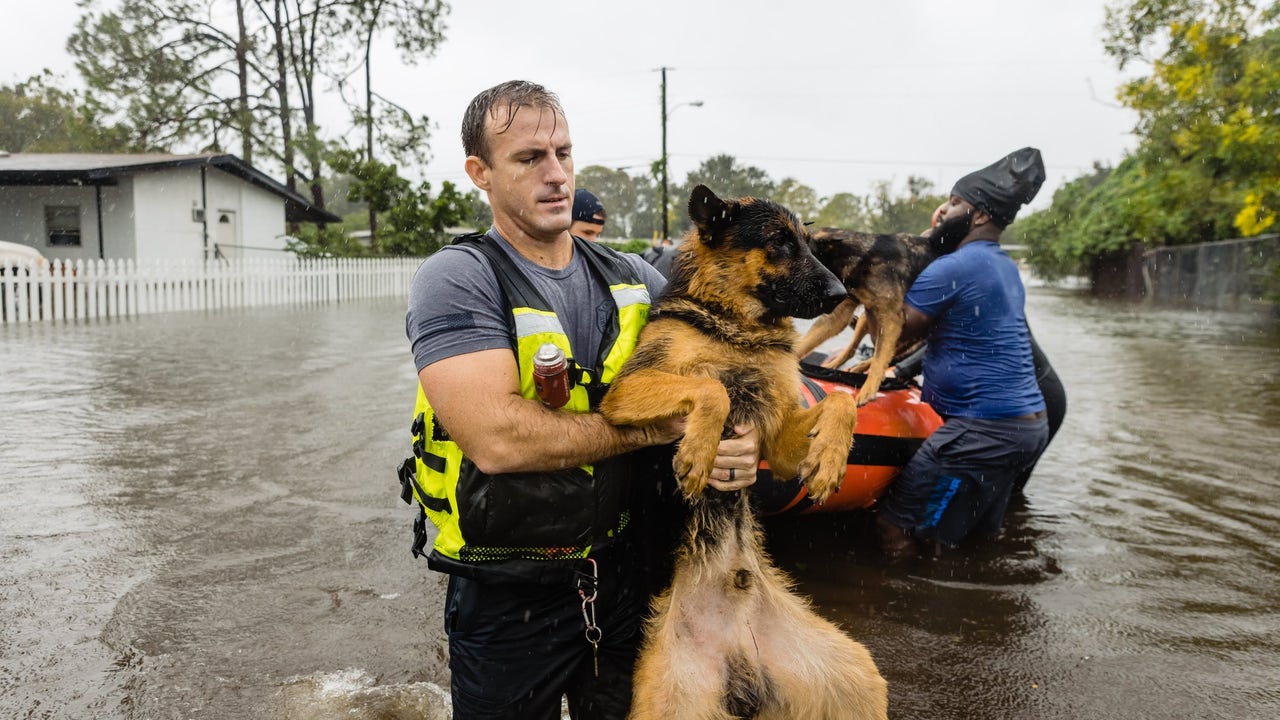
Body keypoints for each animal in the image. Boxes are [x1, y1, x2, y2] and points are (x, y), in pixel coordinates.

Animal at [601, 184, 890, 717]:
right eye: (779, 242)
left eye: (810, 244)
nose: (842, 296)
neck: (737, 327)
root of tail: (739, 660)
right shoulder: (625, 393)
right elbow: (711, 388)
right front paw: (697, 452)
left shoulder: (779, 442)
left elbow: (842, 401)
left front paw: (828, 462)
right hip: (671, 702)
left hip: (856, 678)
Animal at [793, 229, 947, 407]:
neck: (862, 259)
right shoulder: (840, 314)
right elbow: (807, 342)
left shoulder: (891, 319)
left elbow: (880, 358)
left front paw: (868, 389)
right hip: (866, 321)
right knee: (853, 350)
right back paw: (837, 367)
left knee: (887, 354)